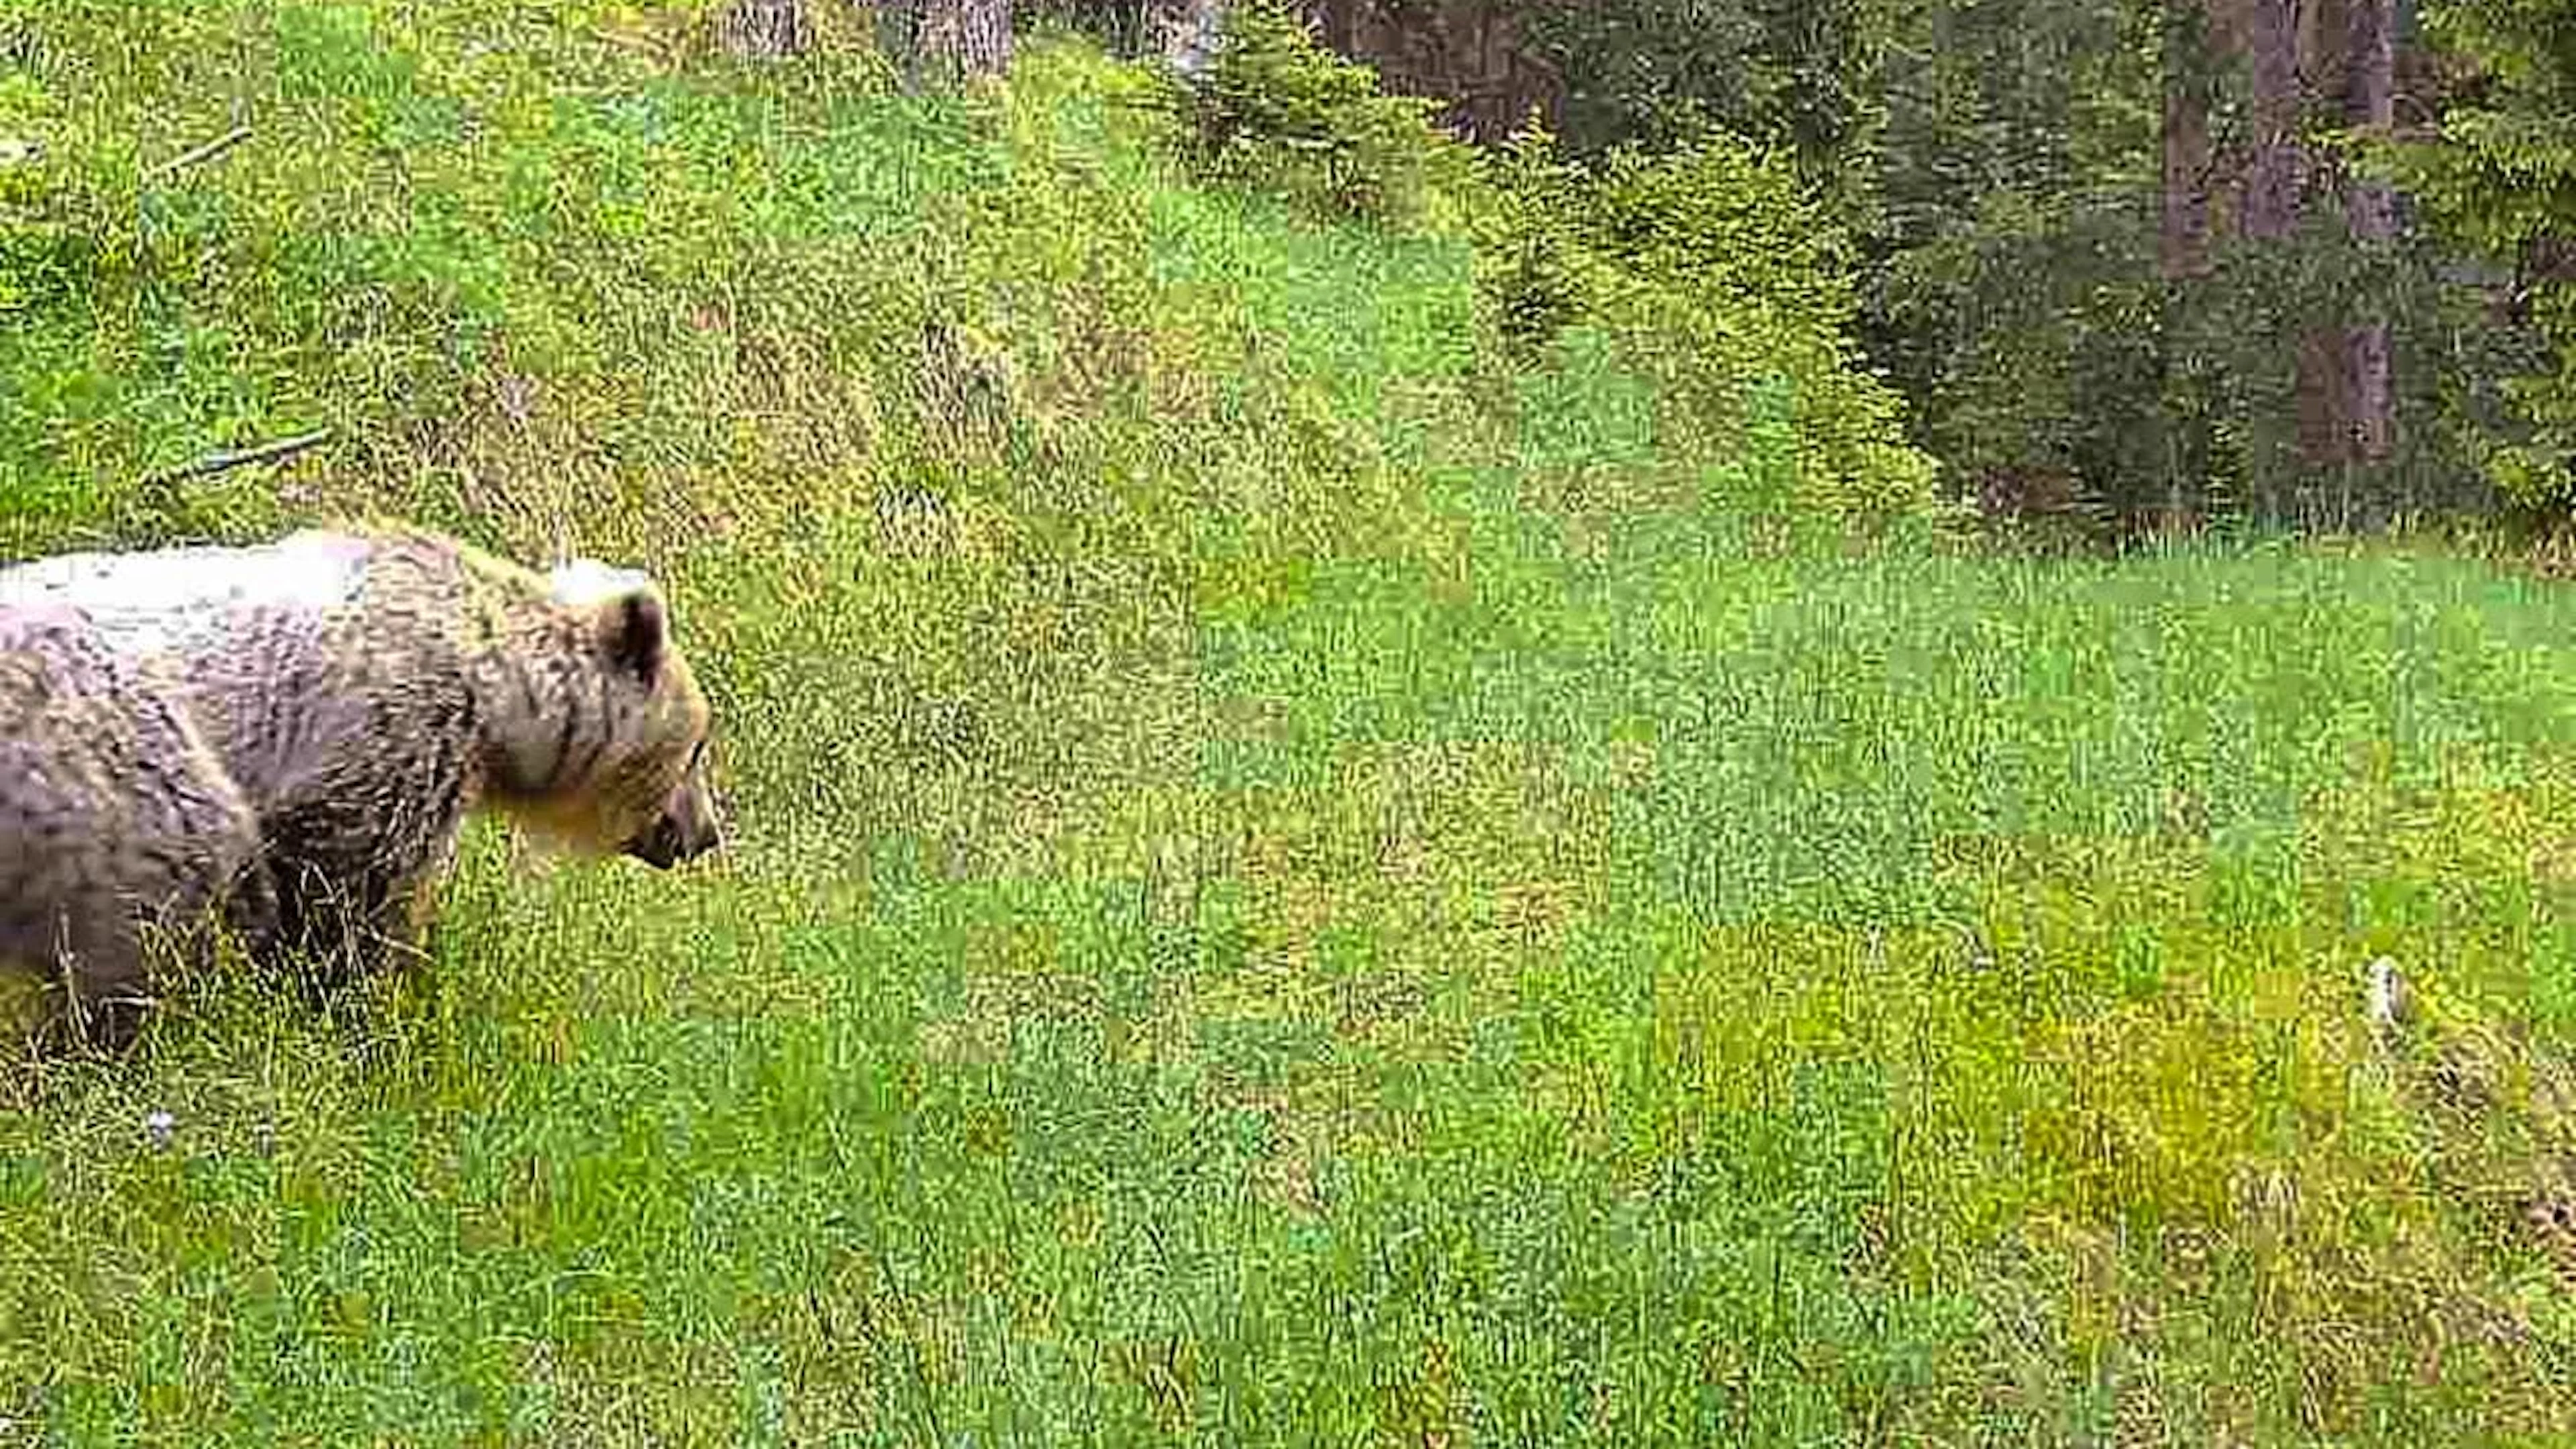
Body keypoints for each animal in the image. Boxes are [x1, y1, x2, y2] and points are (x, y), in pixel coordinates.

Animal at [0, 523, 722, 1047]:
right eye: (697, 748)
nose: (705, 833)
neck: (499, 699)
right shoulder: (390, 738)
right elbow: (351, 900)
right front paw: (366, 1008)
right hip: (99, 763)